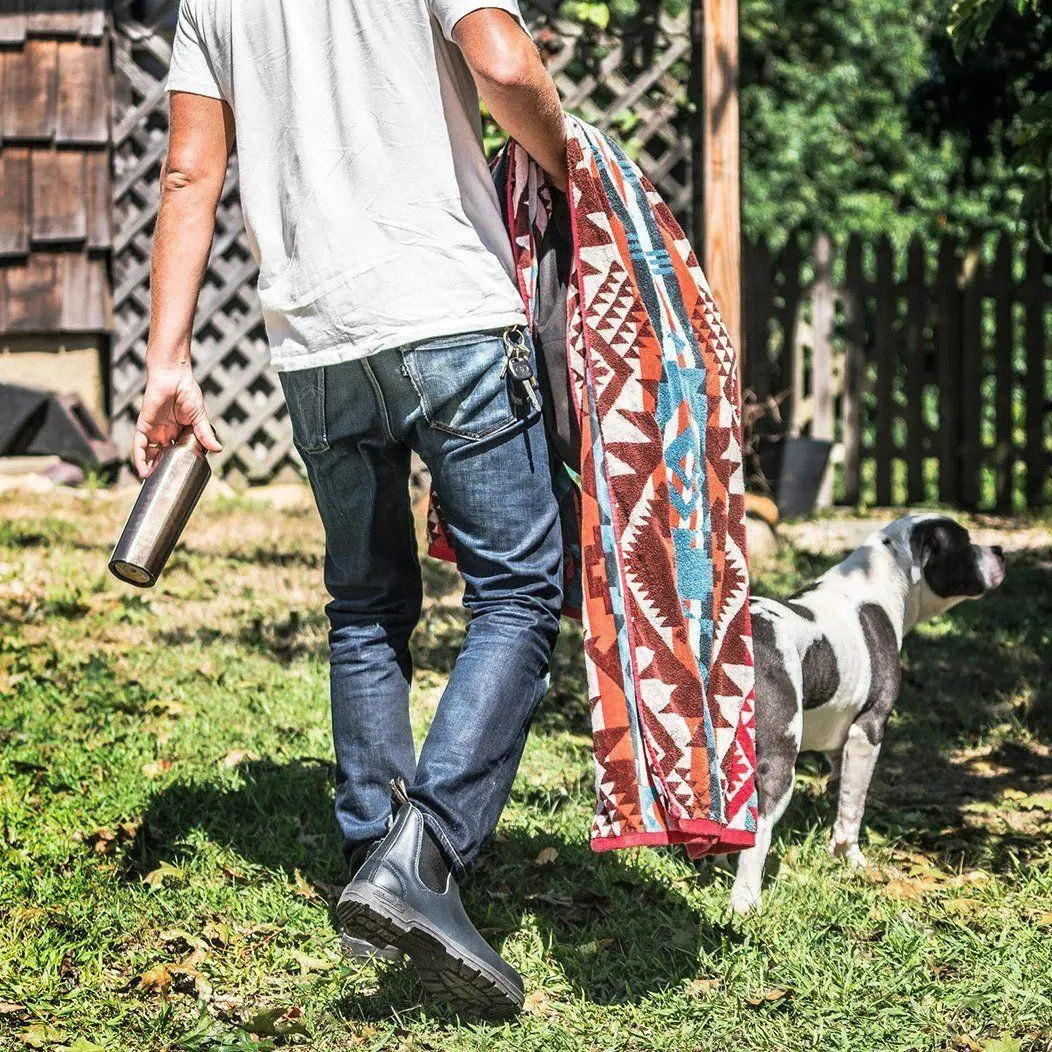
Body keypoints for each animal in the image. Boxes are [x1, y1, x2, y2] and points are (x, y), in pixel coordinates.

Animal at [727, 517, 1005, 913]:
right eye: (965, 543)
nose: (999, 550)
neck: (879, 582)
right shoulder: (868, 730)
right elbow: (854, 808)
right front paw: (851, 859)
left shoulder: (838, 746)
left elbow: (841, 795)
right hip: (778, 763)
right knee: (759, 831)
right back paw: (746, 901)